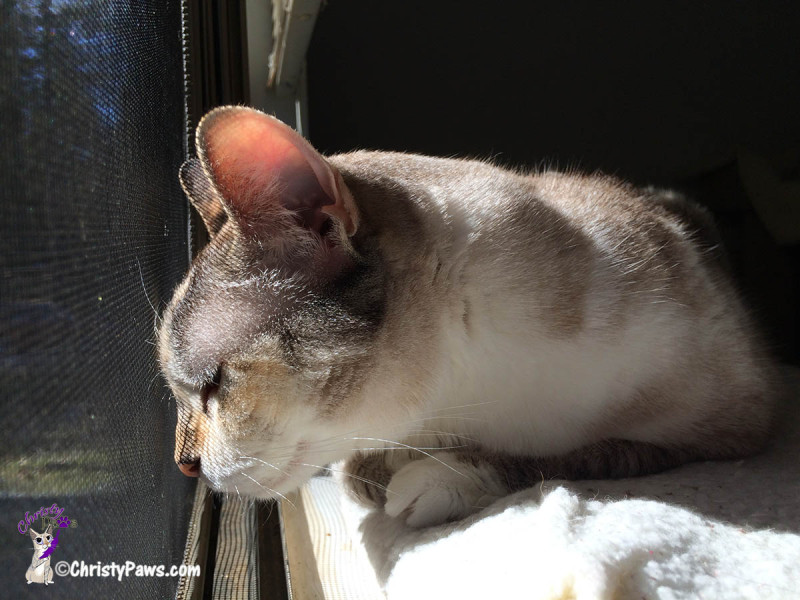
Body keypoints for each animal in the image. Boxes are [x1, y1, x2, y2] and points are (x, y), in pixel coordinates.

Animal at [156, 105, 776, 528]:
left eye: (212, 386)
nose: (184, 467)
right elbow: (357, 470)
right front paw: (378, 469)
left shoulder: (732, 430)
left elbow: (573, 456)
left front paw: (430, 479)